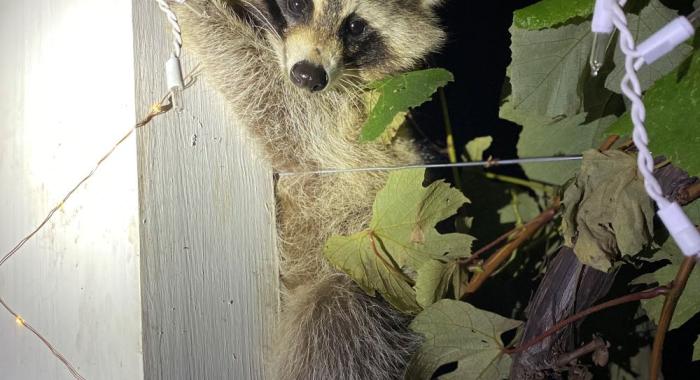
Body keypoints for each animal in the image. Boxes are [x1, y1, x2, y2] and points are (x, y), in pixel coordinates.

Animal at [175, 1, 446, 378]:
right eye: (297, 5)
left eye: (356, 26)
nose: (309, 76)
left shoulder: (346, 127)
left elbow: (274, 101)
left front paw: (202, 12)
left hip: (370, 283)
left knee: (331, 320)